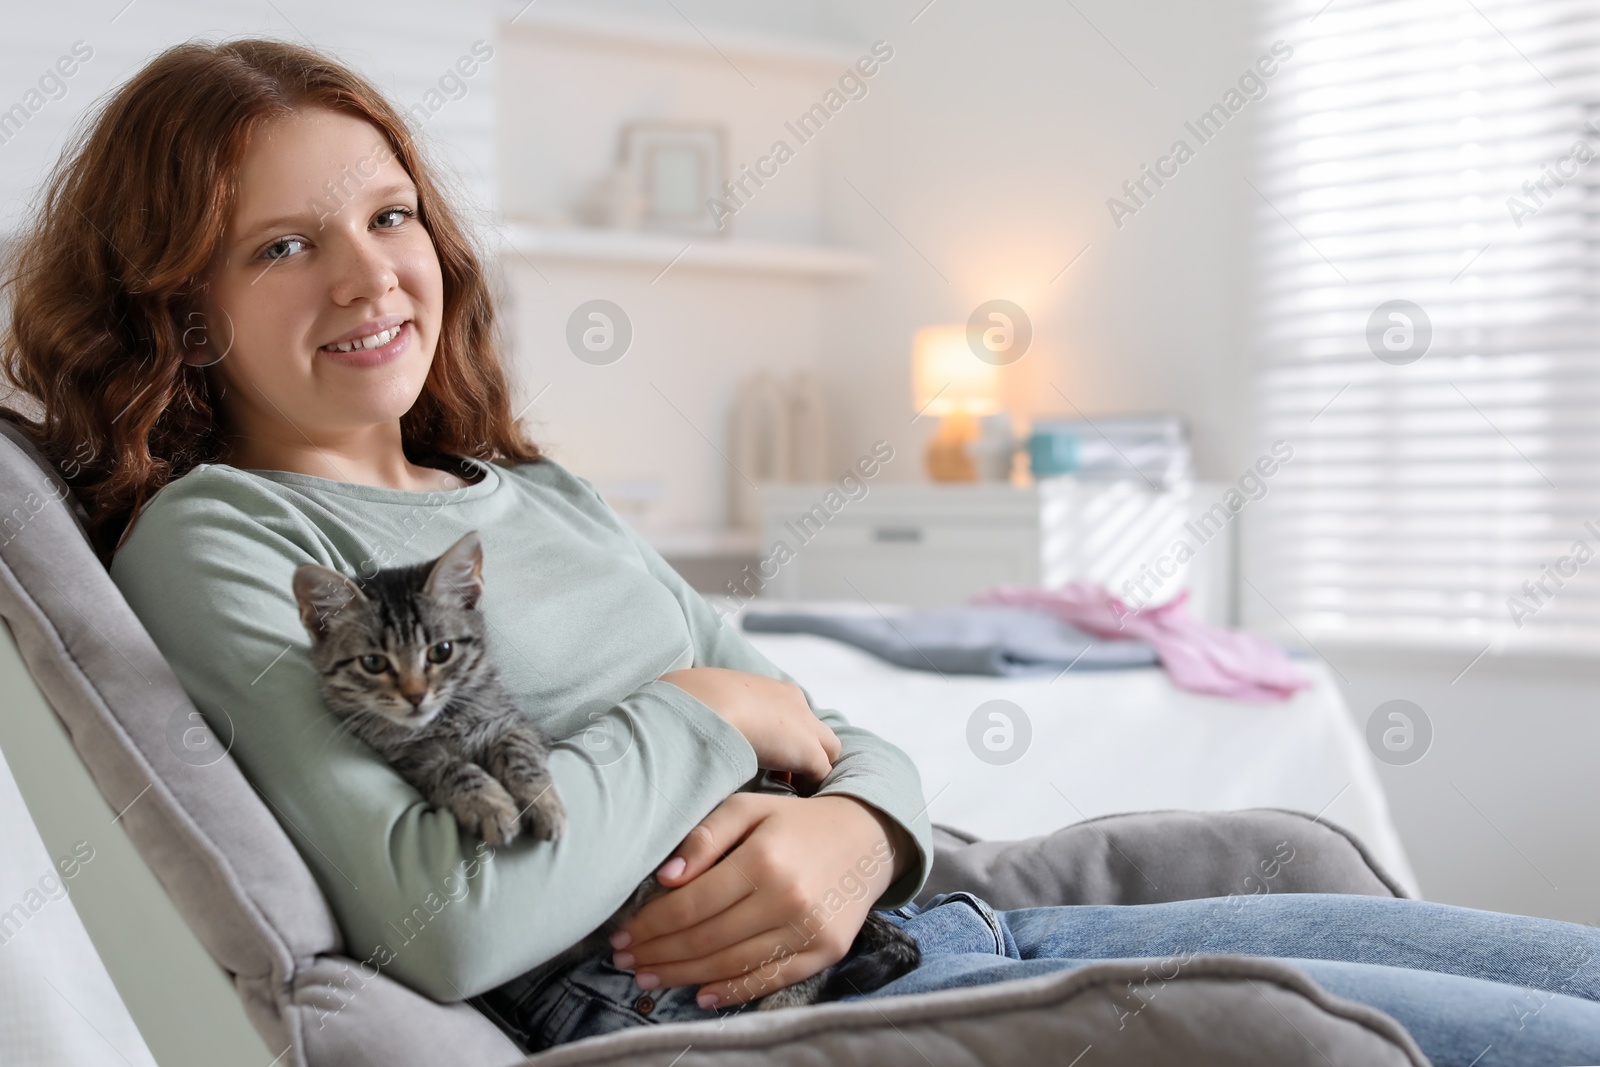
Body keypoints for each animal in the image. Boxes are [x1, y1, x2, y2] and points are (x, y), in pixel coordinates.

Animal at [294, 531, 921, 1017]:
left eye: (441, 652)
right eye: (374, 663)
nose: (414, 694)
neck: (449, 719)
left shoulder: (515, 728)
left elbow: (522, 759)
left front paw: (538, 802)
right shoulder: (412, 759)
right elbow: (451, 771)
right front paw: (489, 803)